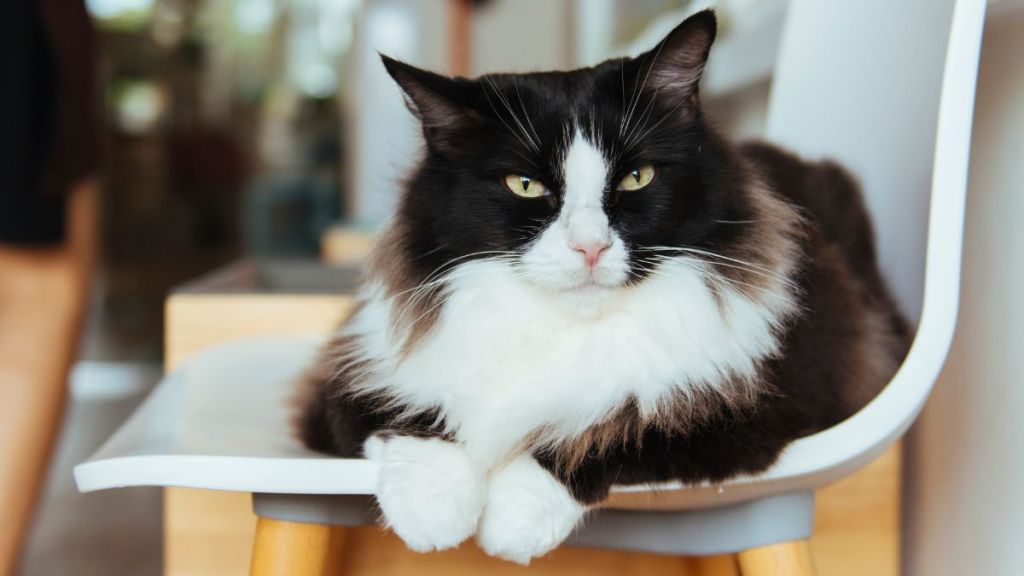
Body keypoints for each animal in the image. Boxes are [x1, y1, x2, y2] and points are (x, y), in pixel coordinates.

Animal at [292, 8, 909, 561]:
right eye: (524, 185)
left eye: (637, 177)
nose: (589, 247)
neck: (557, 329)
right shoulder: (345, 378)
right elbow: (409, 419)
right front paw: (433, 513)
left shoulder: (758, 403)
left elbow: (606, 431)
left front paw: (510, 523)